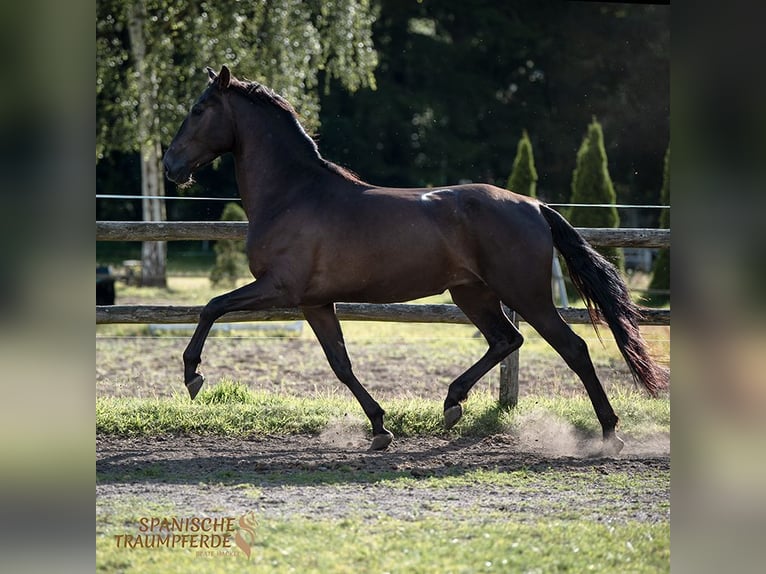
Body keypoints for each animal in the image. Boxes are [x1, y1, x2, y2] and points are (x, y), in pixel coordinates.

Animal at [165, 66, 668, 454]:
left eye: (198, 109)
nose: (171, 166)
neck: (293, 194)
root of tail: (534, 205)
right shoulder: (314, 303)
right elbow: (341, 364)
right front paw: (379, 428)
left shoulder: (278, 289)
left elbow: (211, 307)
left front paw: (192, 376)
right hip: (472, 294)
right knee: (507, 340)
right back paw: (452, 404)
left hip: (526, 295)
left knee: (572, 348)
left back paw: (609, 434)